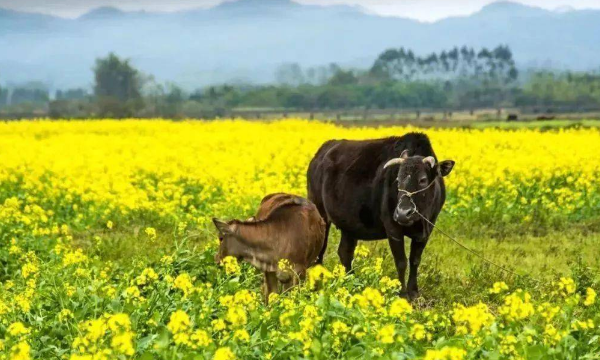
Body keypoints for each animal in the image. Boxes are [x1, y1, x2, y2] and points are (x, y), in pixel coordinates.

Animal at [310, 132, 454, 298]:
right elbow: (401, 261)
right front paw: (402, 293)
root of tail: (319, 155)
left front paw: (414, 292)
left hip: (349, 226)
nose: (403, 213)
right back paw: (317, 284)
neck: (418, 219)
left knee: (345, 252)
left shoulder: (427, 229)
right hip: (321, 215)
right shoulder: (393, 229)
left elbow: (415, 260)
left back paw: (350, 281)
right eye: (398, 179)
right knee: (320, 251)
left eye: (423, 180)